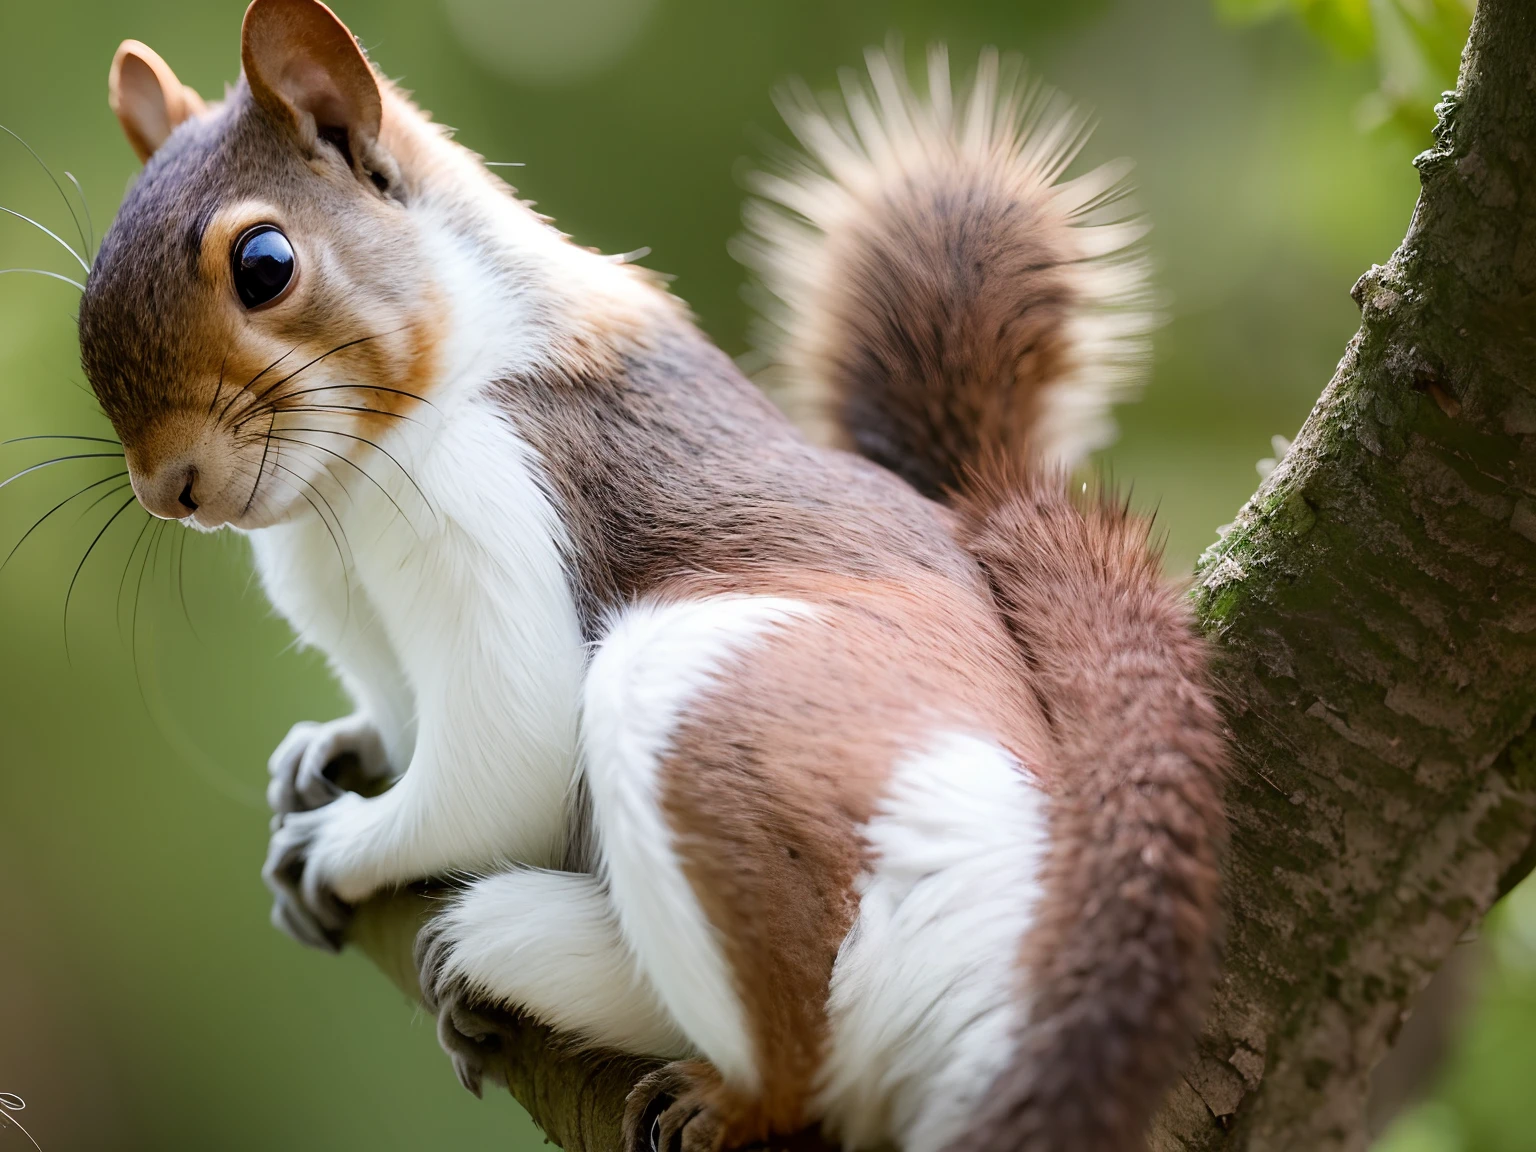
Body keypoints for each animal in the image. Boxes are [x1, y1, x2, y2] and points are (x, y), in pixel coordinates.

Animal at [74, 2, 1222, 1152]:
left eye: (264, 262)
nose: (170, 489)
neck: (342, 491)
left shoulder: (495, 502)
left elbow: (494, 767)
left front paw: (344, 846)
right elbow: (400, 723)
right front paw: (330, 750)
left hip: (704, 703)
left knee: (803, 1059)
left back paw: (707, 1079)